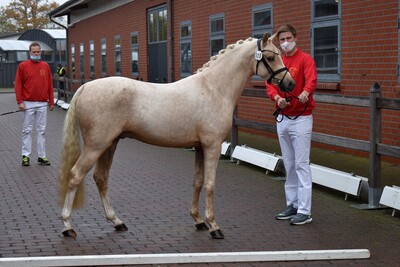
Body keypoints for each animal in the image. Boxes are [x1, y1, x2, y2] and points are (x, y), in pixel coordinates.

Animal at [61, 32, 296, 240]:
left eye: (280, 54)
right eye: (271, 57)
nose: (291, 84)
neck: (214, 88)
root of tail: (85, 87)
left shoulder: (200, 147)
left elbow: (198, 182)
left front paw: (198, 220)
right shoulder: (212, 146)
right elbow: (210, 184)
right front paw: (214, 226)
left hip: (109, 144)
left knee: (101, 178)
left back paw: (117, 221)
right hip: (96, 146)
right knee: (75, 175)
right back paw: (67, 226)